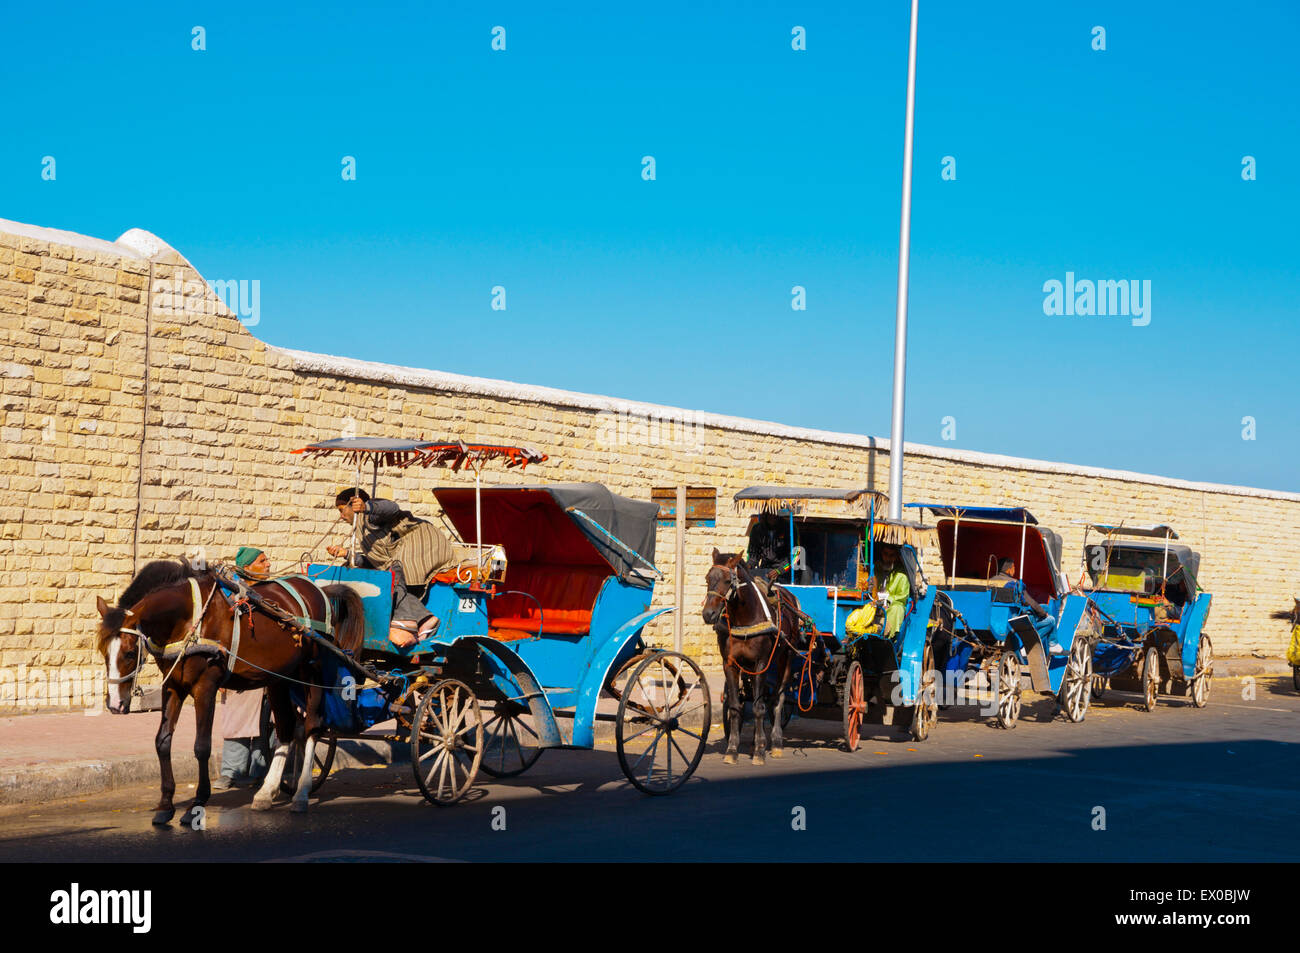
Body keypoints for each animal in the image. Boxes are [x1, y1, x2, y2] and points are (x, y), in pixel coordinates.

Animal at [94, 556, 364, 826]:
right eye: (103, 651)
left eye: (130, 653)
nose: (115, 704)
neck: (188, 618)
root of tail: (319, 591)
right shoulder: (174, 686)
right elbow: (162, 741)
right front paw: (165, 805)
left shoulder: (206, 685)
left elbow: (201, 746)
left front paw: (197, 803)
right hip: (279, 678)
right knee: (287, 729)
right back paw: (266, 792)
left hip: (311, 671)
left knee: (312, 727)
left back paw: (301, 793)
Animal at [702, 546, 800, 764]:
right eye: (707, 578)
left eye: (727, 581)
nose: (708, 614)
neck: (744, 617)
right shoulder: (729, 663)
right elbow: (736, 707)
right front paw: (732, 750)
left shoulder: (761, 663)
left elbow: (758, 707)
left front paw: (759, 751)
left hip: (787, 657)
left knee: (778, 699)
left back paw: (776, 742)